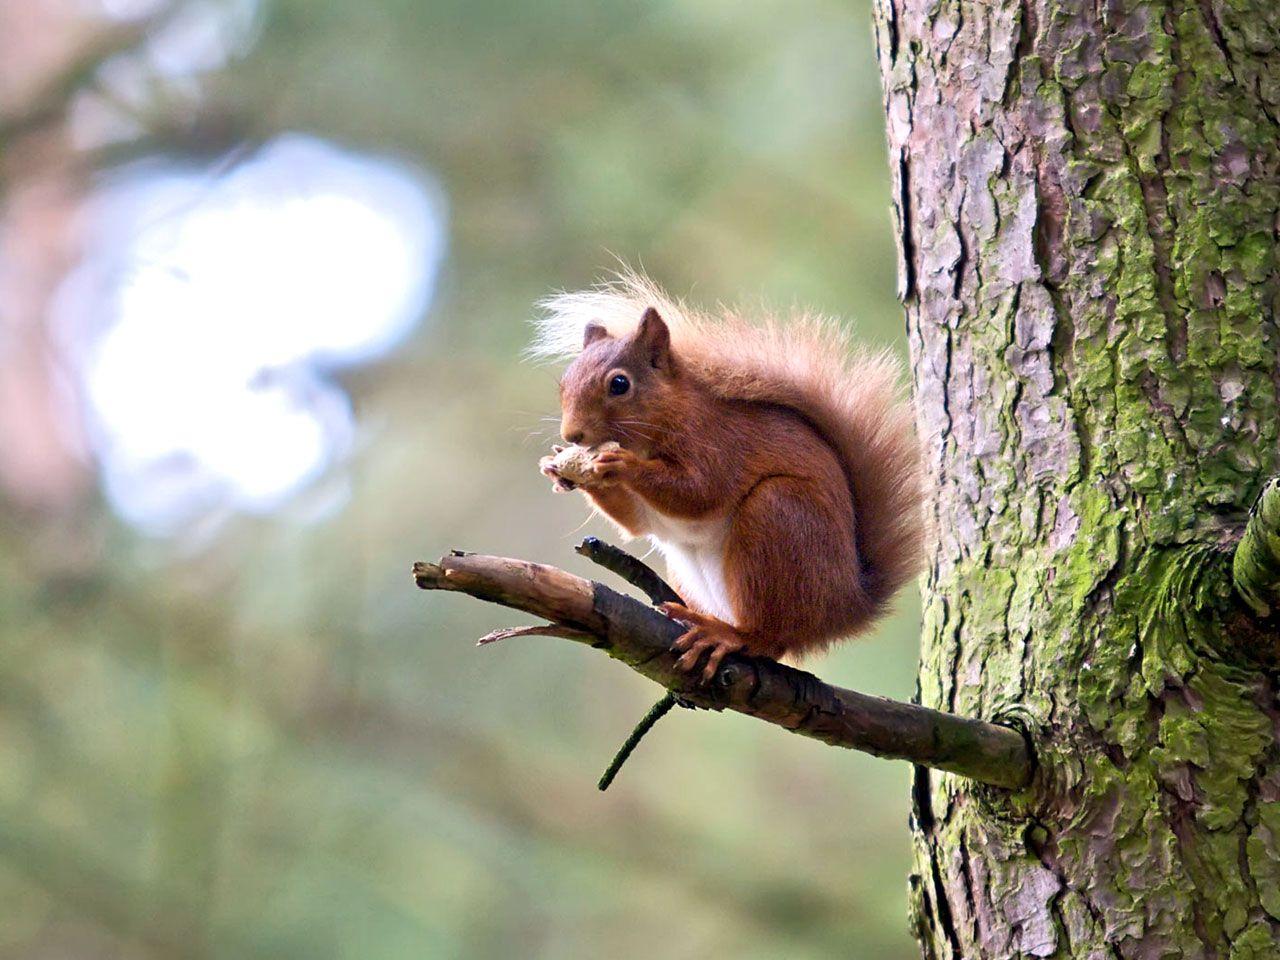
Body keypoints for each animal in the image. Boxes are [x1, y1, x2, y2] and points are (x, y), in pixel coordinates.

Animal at [534, 273, 923, 682]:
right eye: (564, 383)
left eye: (620, 384)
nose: (572, 435)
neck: (667, 416)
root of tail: (847, 607)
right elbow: (637, 524)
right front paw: (559, 468)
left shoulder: (717, 444)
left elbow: (699, 493)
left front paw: (619, 464)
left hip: (777, 522)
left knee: (771, 638)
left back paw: (727, 635)